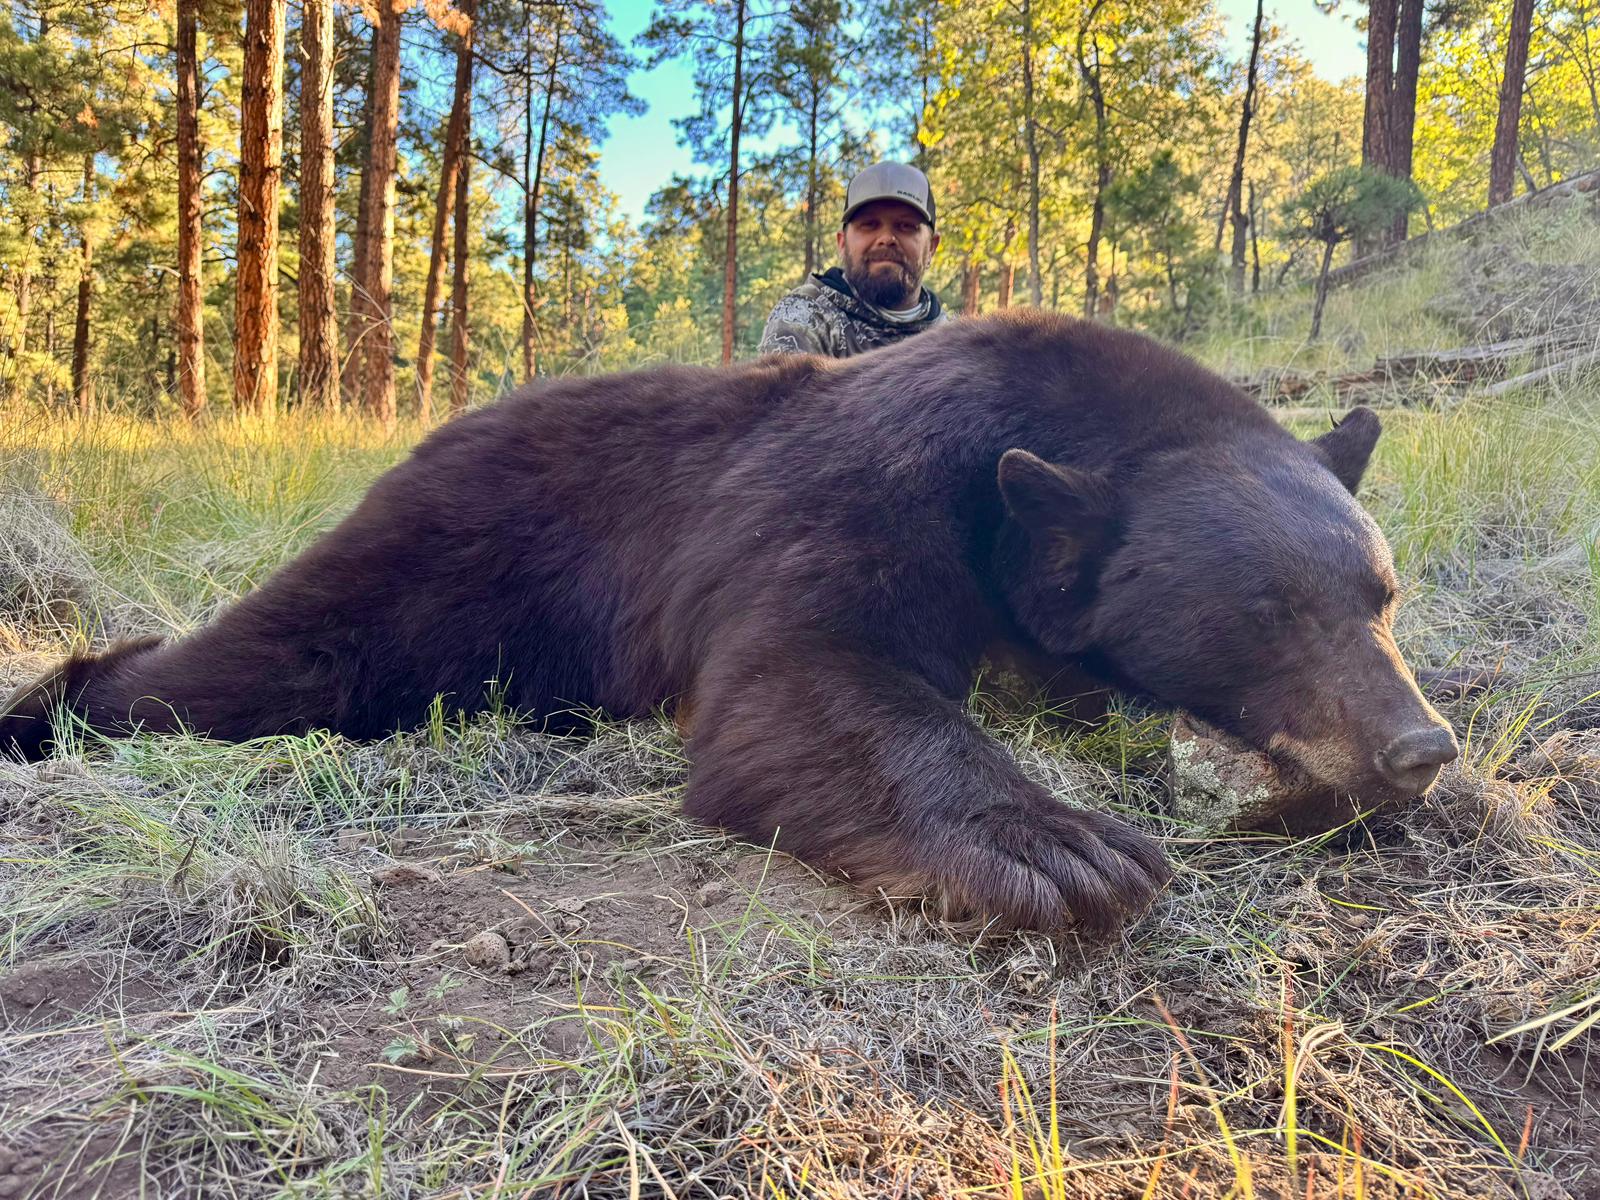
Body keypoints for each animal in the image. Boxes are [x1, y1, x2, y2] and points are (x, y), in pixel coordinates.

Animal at [0, 309, 1459, 932]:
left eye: (1380, 596)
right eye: (1268, 612)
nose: (1417, 747)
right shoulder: (852, 489)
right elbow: (804, 681)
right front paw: (1062, 847)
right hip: (453, 557)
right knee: (263, 660)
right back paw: (52, 704)